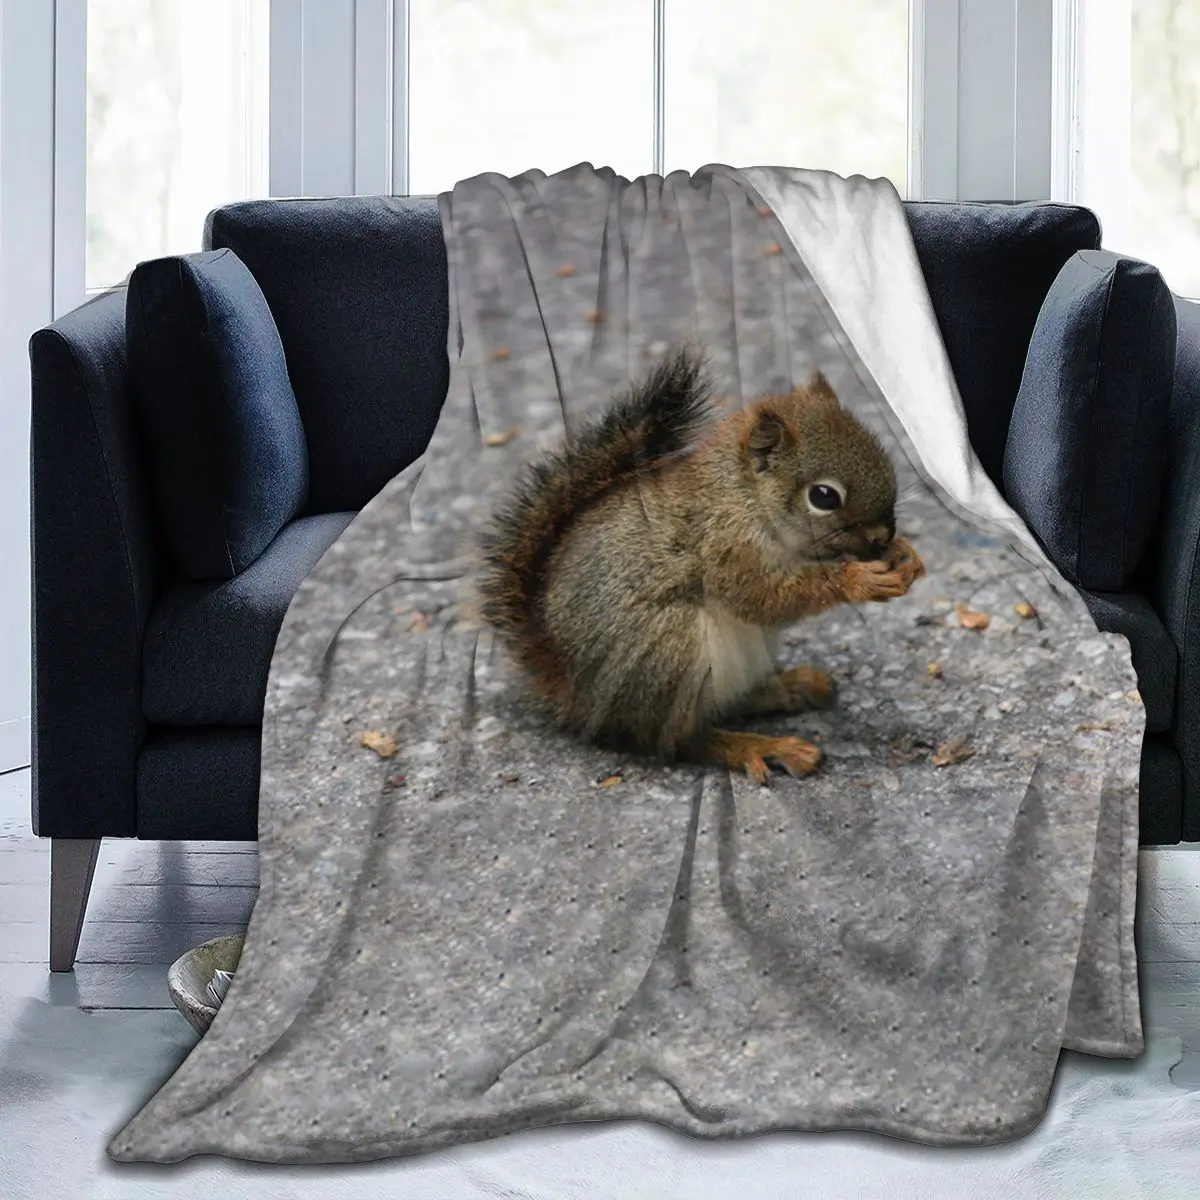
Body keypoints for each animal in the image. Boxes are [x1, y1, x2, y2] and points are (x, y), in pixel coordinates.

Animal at [475, 347, 926, 785]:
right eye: (824, 496)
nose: (883, 535)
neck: (744, 496)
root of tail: (573, 694)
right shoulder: (726, 548)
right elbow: (765, 598)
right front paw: (858, 580)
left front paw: (906, 557)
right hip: (671, 652)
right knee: (677, 740)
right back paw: (760, 746)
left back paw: (787, 687)